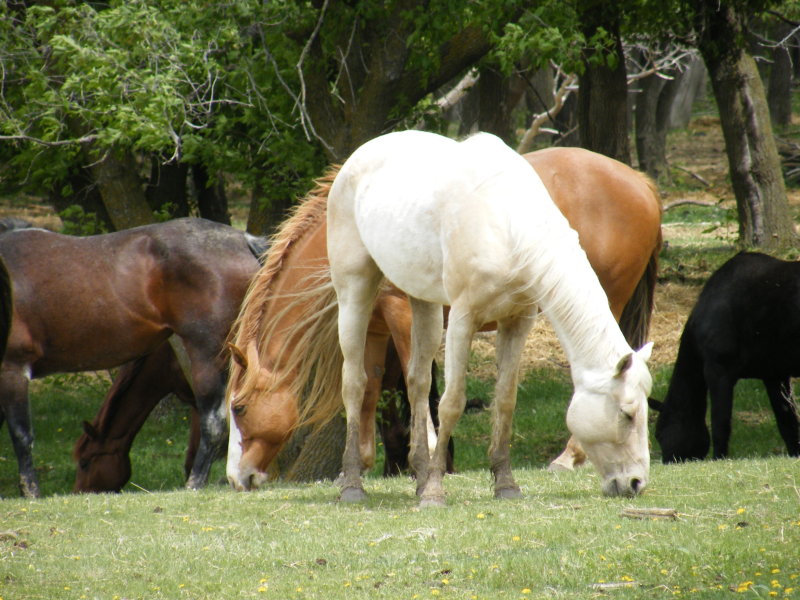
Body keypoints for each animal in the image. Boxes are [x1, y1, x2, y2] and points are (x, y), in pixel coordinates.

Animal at [2, 217, 266, 496]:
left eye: (85, 462)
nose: (80, 492)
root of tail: (242, 240)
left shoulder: (13, 368)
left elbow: (21, 434)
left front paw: (30, 491)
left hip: (207, 355)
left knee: (214, 422)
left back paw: (196, 483)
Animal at [227, 144, 664, 492]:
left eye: (239, 409)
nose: (237, 477)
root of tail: (641, 183)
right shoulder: (376, 329)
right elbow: (370, 389)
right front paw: (363, 465)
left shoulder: (405, 315)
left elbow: (419, 388)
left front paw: (429, 461)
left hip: (608, 299)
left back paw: (567, 458)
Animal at [652, 251, 800, 462]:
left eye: (659, 433)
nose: (667, 462)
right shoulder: (774, 375)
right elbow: (788, 421)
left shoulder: (718, 371)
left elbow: (720, 424)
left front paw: (718, 458)